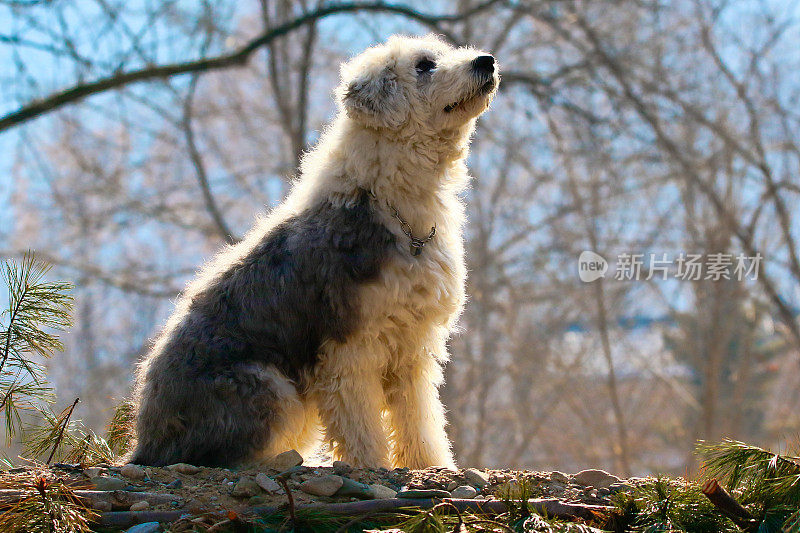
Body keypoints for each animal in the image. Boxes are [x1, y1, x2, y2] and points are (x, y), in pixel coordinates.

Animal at [130, 35, 500, 468]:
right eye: (424, 65)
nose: (486, 61)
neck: (393, 207)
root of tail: (144, 447)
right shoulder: (349, 348)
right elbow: (360, 423)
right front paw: (371, 464)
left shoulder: (412, 347)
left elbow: (419, 417)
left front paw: (431, 465)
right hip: (270, 387)